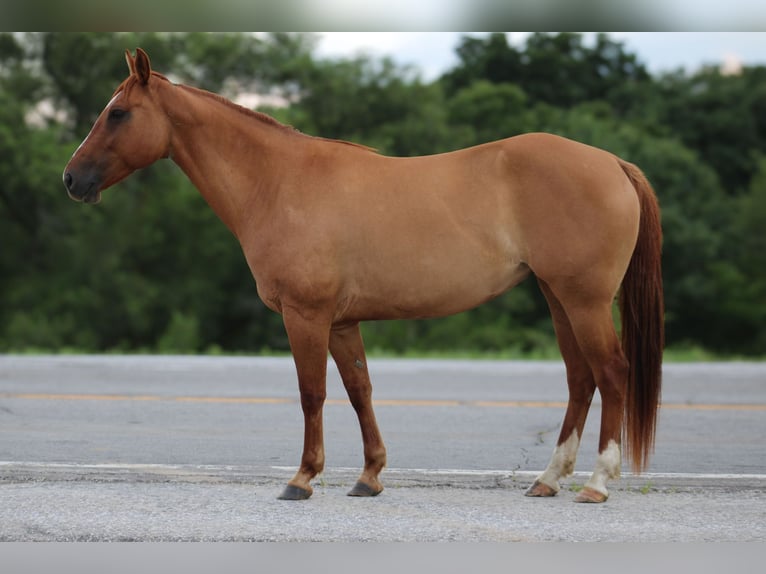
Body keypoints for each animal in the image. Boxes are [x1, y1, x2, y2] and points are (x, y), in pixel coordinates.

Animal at [63, 48, 663, 503]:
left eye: (118, 113)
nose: (71, 178)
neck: (278, 182)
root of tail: (613, 163)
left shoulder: (306, 316)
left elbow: (312, 393)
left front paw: (302, 478)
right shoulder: (341, 322)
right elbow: (359, 391)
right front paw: (370, 476)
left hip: (584, 300)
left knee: (611, 373)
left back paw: (596, 483)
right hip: (559, 297)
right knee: (580, 378)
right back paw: (548, 479)